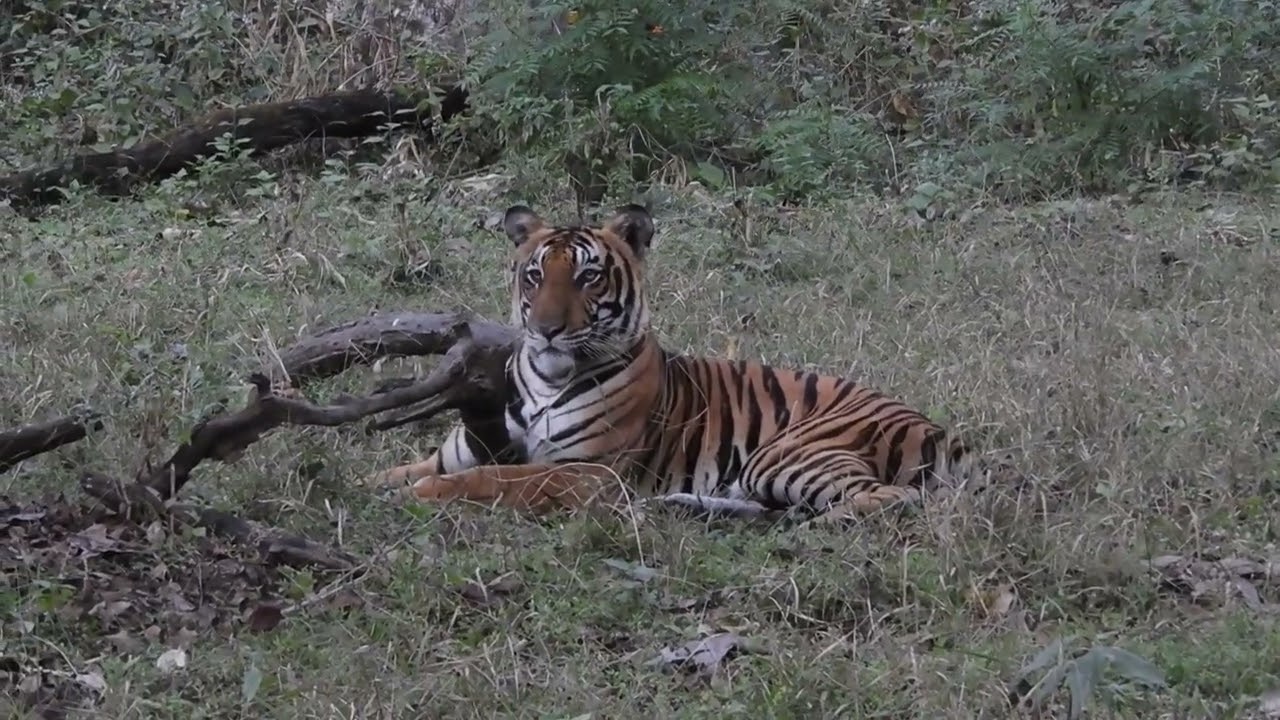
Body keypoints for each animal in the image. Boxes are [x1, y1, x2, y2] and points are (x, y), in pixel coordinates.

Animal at [363, 203, 1006, 524]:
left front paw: (423, 496)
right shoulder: (455, 451)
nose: (545, 329)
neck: (545, 378)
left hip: (790, 453)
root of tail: (938, 431)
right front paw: (371, 488)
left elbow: (494, 479)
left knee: (888, 499)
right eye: (535, 274)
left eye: (588, 277)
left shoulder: (587, 472)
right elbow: (393, 474)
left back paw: (821, 523)